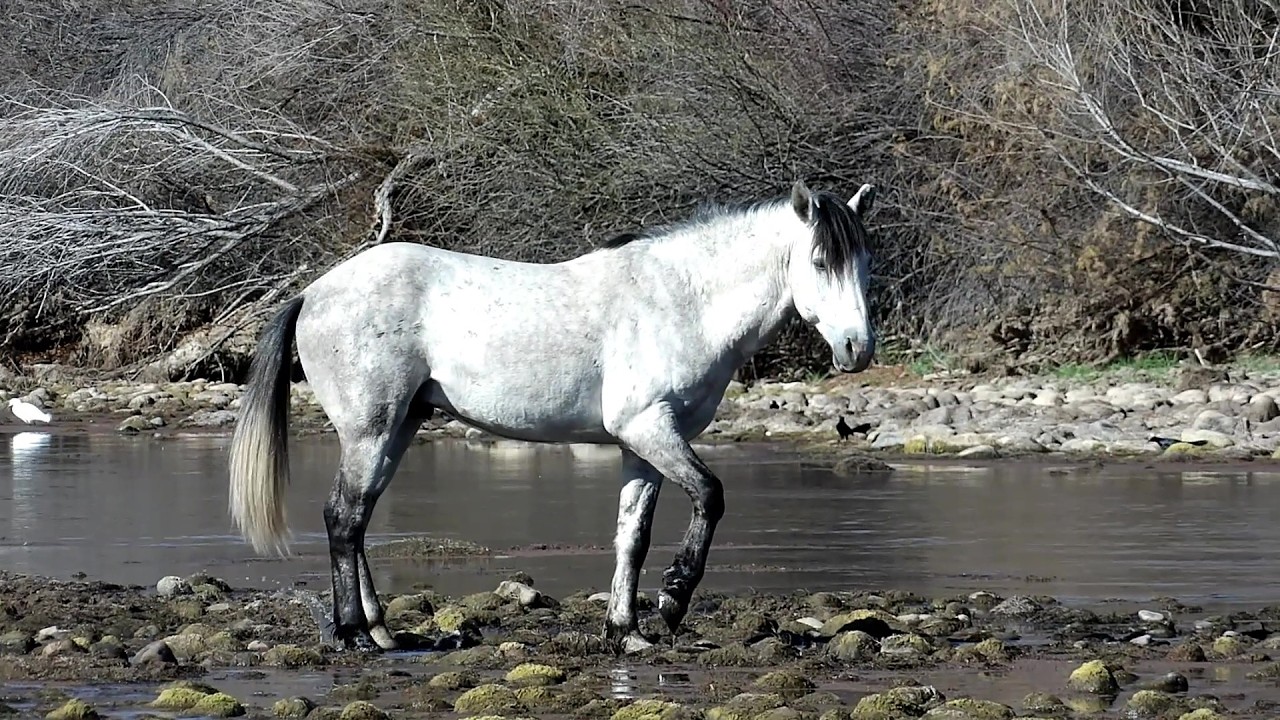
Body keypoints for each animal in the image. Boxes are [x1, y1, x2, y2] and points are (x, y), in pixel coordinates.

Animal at [227, 179, 878, 654]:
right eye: (820, 261)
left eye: (865, 263)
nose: (857, 349)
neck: (683, 301)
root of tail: (314, 293)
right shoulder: (649, 428)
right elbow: (711, 495)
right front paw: (673, 598)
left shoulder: (642, 445)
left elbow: (632, 535)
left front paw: (627, 632)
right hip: (371, 429)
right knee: (343, 518)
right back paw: (353, 635)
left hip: (400, 427)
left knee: (357, 519)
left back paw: (381, 631)